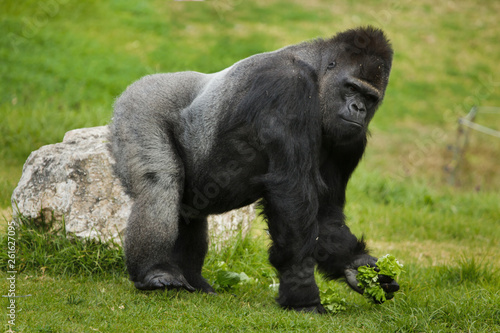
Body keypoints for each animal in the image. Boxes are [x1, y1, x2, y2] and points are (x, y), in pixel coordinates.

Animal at [109, 26, 398, 314]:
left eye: (370, 97)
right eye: (351, 87)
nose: (358, 108)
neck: (316, 75)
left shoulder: (352, 139)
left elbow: (326, 211)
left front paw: (357, 266)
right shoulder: (289, 88)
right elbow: (291, 192)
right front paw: (301, 292)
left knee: (189, 210)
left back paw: (193, 279)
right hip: (140, 105)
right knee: (161, 184)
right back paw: (154, 271)